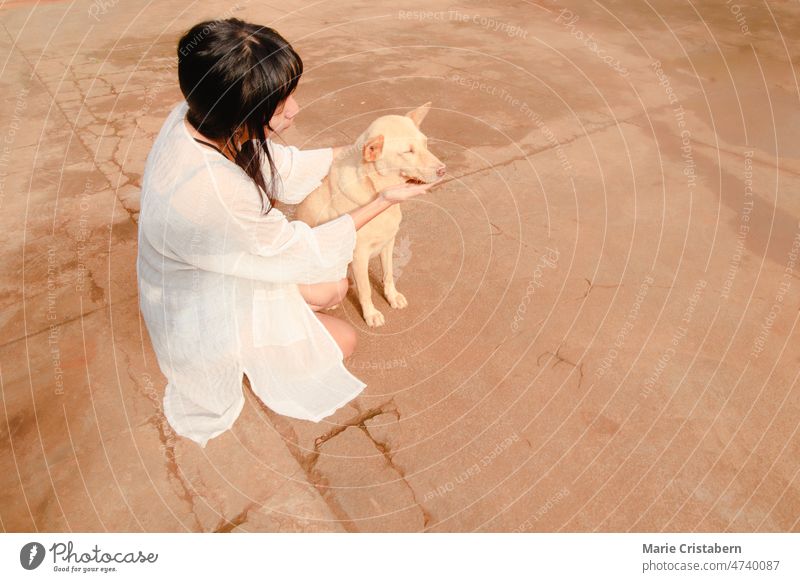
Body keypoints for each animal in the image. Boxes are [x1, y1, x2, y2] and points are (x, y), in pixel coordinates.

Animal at [296, 104, 444, 328]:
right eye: (408, 151)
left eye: (425, 143)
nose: (443, 170)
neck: (374, 188)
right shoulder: (359, 254)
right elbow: (365, 289)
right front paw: (371, 314)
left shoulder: (389, 242)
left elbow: (388, 274)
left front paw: (392, 296)